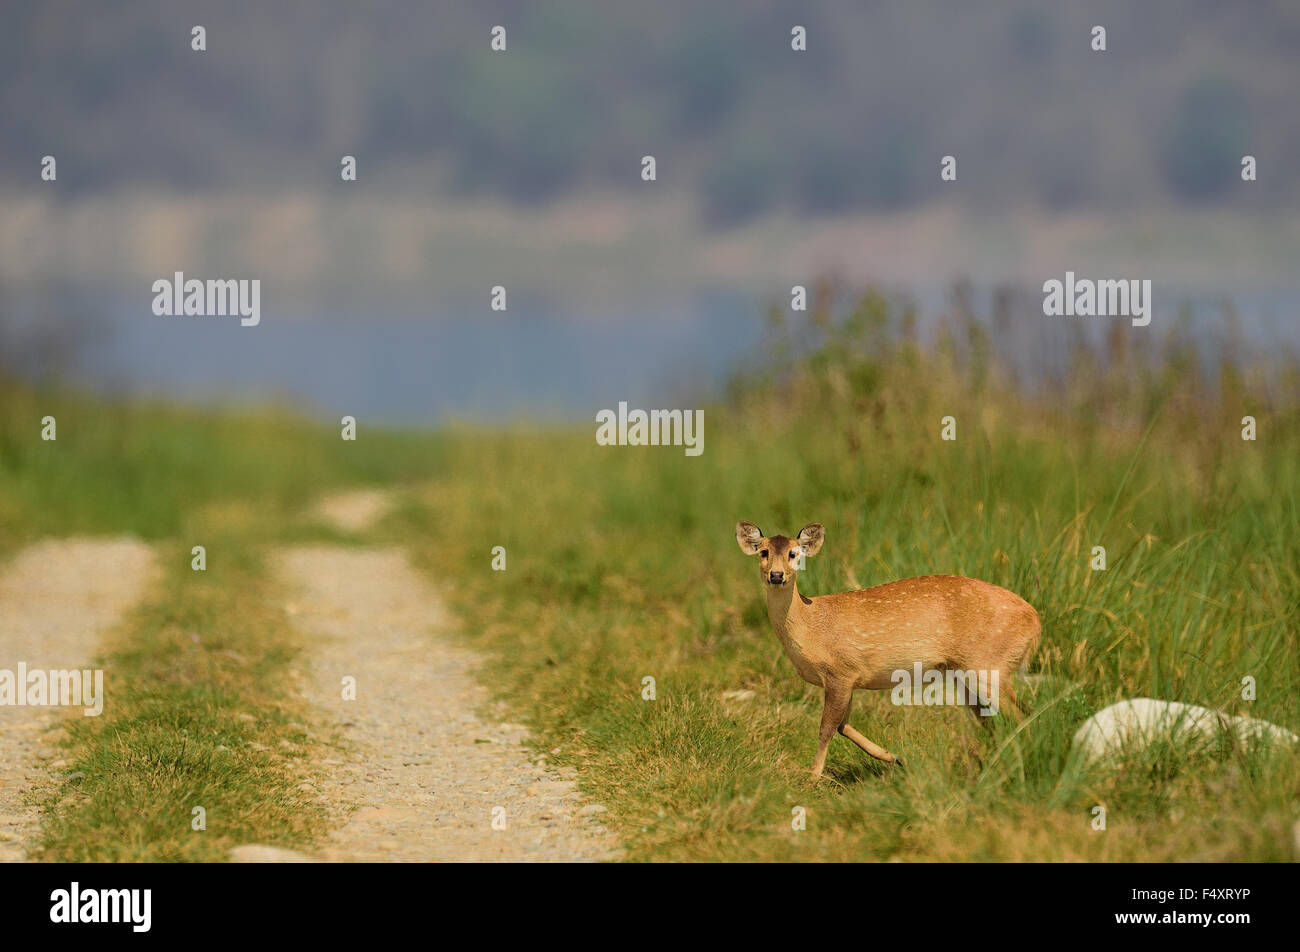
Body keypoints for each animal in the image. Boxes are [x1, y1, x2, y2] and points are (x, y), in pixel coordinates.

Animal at [735, 522, 1041, 777]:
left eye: (794, 553)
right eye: (763, 551)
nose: (776, 575)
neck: (811, 626)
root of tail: (1035, 622)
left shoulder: (840, 672)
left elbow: (827, 728)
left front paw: (812, 778)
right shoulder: (848, 679)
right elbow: (843, 725)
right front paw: (893, 757)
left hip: (990, 665)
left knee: (1021, 715)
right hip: (964, 674)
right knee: (993, 721)